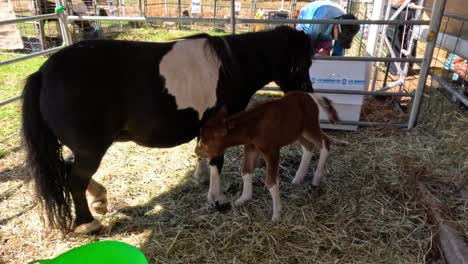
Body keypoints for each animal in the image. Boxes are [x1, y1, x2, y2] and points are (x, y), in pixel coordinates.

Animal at [22, 26, 314, 233]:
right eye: (304, 63)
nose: (307, 95)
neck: (231, 65)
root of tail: (43, 73)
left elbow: (202, 153)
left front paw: (201, 179)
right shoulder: (221, 125)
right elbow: (217, 161)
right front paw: (218, 199)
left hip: (81, 149)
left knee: (67, 170)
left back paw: (99, 199)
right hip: (90, 149)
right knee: (75, 180)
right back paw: (88, 224)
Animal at [196, 92, 338, 222]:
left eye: (206, 143)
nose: (196, 151)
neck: (253, 127)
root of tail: (312, 96)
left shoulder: (271, 150)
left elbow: (270, 181)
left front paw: (276, 214)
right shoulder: (251, 147)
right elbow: (246, 171)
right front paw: (243, 198)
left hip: (310, 125)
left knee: (325, 142)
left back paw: (316, 178)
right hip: (297, 132)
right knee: (309, 146)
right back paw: (298, 177)